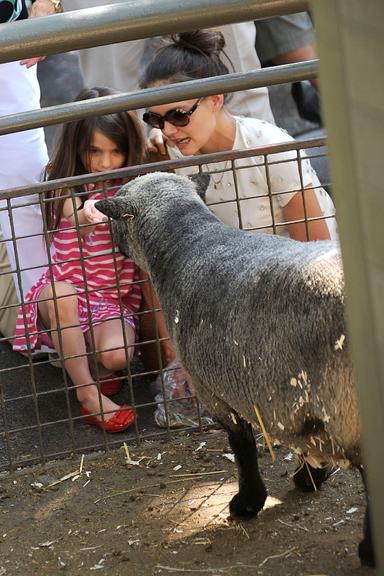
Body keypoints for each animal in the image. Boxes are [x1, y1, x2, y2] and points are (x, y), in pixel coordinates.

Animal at [96, 171, 376, 568]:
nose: (113, 246)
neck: (188, 241)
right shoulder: (287, 397)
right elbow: (305, 442)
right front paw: (312, 477)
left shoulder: (215, 389)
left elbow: (241, 445)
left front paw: (247, 502)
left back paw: (369, 550)